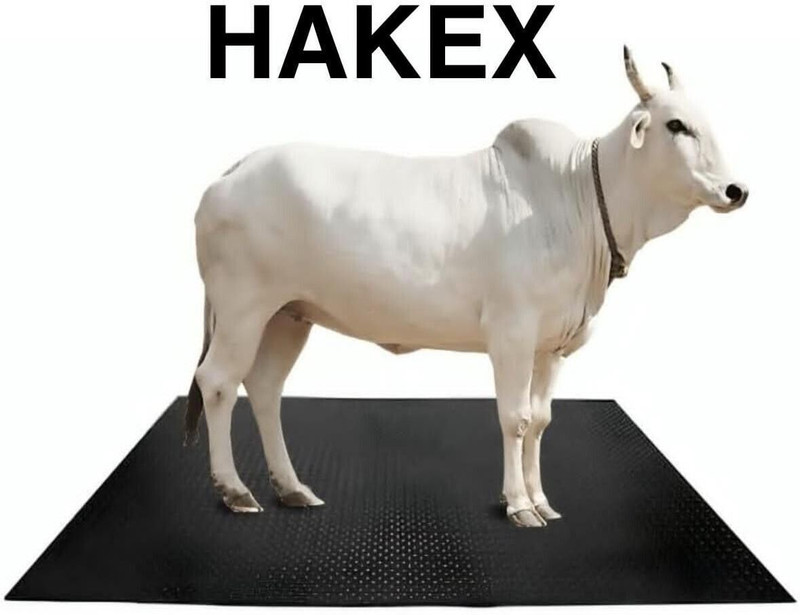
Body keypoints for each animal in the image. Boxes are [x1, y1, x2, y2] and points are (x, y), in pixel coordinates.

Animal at [185, 47, 747, 528]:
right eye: (675, 125)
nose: (735, 190)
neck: (582, 200)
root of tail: (235, 170)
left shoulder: (552, 346)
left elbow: (541, 421)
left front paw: (542, 499)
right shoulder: (512, 334)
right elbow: (515, 418)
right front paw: (519, 504)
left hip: (287, 314)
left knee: (264, 389)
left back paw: (292, 488)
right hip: (242, 308)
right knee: (218, 383)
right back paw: (235, 491)